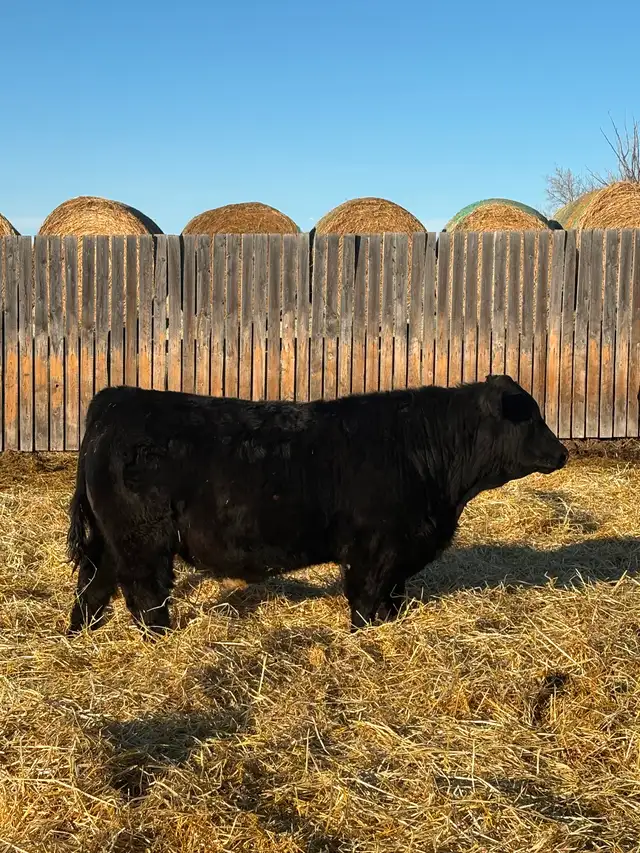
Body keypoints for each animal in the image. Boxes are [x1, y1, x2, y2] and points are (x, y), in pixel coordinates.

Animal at [66, 374, 568, 636]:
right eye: (530, 416)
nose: (562, 452)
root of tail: (117, 397)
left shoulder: (400, 554)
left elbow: (391, 600)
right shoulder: (374, 549)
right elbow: (366, 600)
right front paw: (363, 637)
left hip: (112, 541)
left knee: (93, 588)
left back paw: (81, 634)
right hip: (142, 539)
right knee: (145, 593)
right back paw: (161, 636)